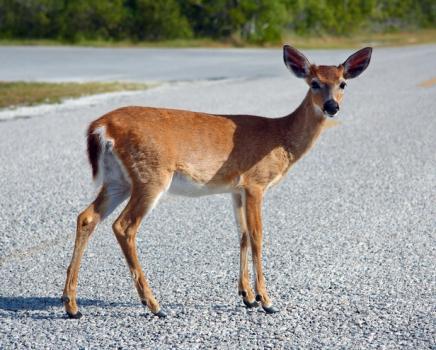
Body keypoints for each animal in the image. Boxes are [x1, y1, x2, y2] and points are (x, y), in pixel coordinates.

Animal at [62, 45, 372, 318]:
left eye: (343, 83)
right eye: (314, 83)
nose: (332, 107)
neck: (281, 138)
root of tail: (102, 126)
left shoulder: (236, 189)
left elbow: (242, 235)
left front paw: (247, 296)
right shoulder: (256, 183)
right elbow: (258, 236)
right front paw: (267, 301)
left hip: (118, 179)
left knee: (86, 217)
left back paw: (71, 305)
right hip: (151, 175)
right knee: (124, 226)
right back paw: (153, 304)